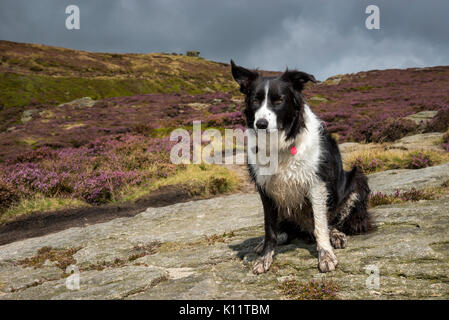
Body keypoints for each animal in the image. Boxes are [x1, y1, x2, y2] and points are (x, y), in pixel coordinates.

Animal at [229, 60, 372, 276]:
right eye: (255, 100)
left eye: (279, 100)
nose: (261, 123)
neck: (279, 144)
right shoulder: (266, 189)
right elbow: (269, 229)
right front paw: (265, 257)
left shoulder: (316, 184)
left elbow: (321, 224)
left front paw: (325, 255)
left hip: (357, 179)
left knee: (333, 222)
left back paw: (336, 235)